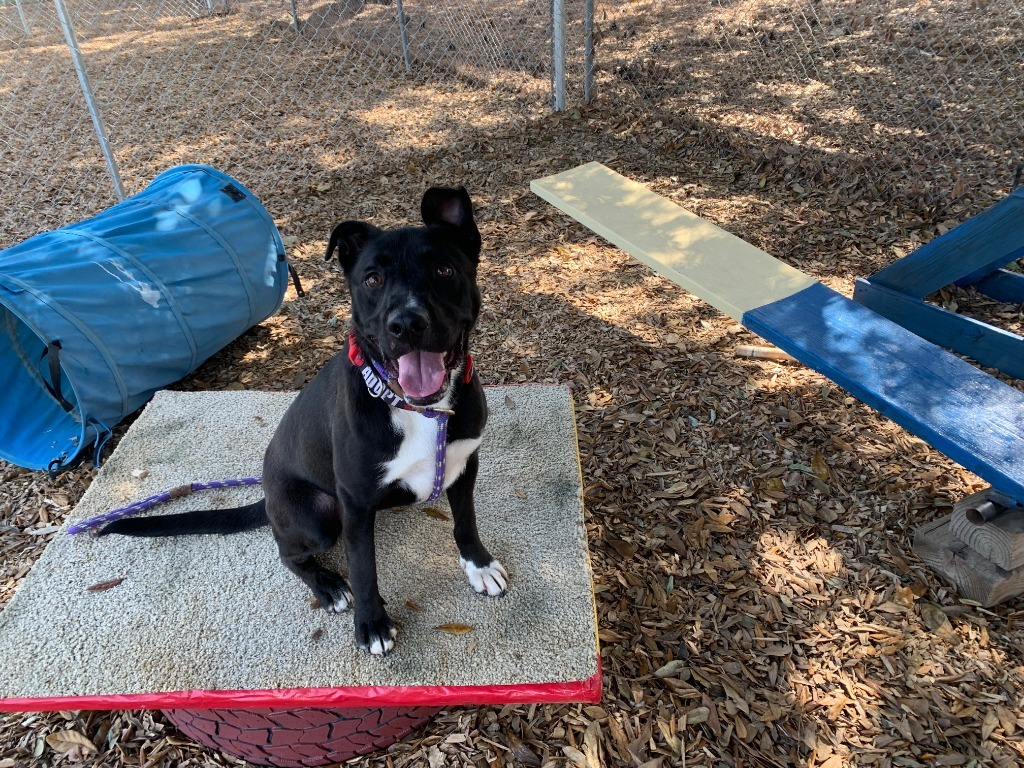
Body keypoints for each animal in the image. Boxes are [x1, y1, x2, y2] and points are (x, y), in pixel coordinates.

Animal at [99, 186, 507, 655]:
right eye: (372, 280)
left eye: (444, 269)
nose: (406, 323)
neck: (416, 408)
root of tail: (267, 496)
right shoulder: (354, 500)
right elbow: (364, 569)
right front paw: (372, 624)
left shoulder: (464, 463)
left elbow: (466, 519)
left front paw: (479, 564)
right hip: (317, 513)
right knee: (287, 552)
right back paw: (327, 586)